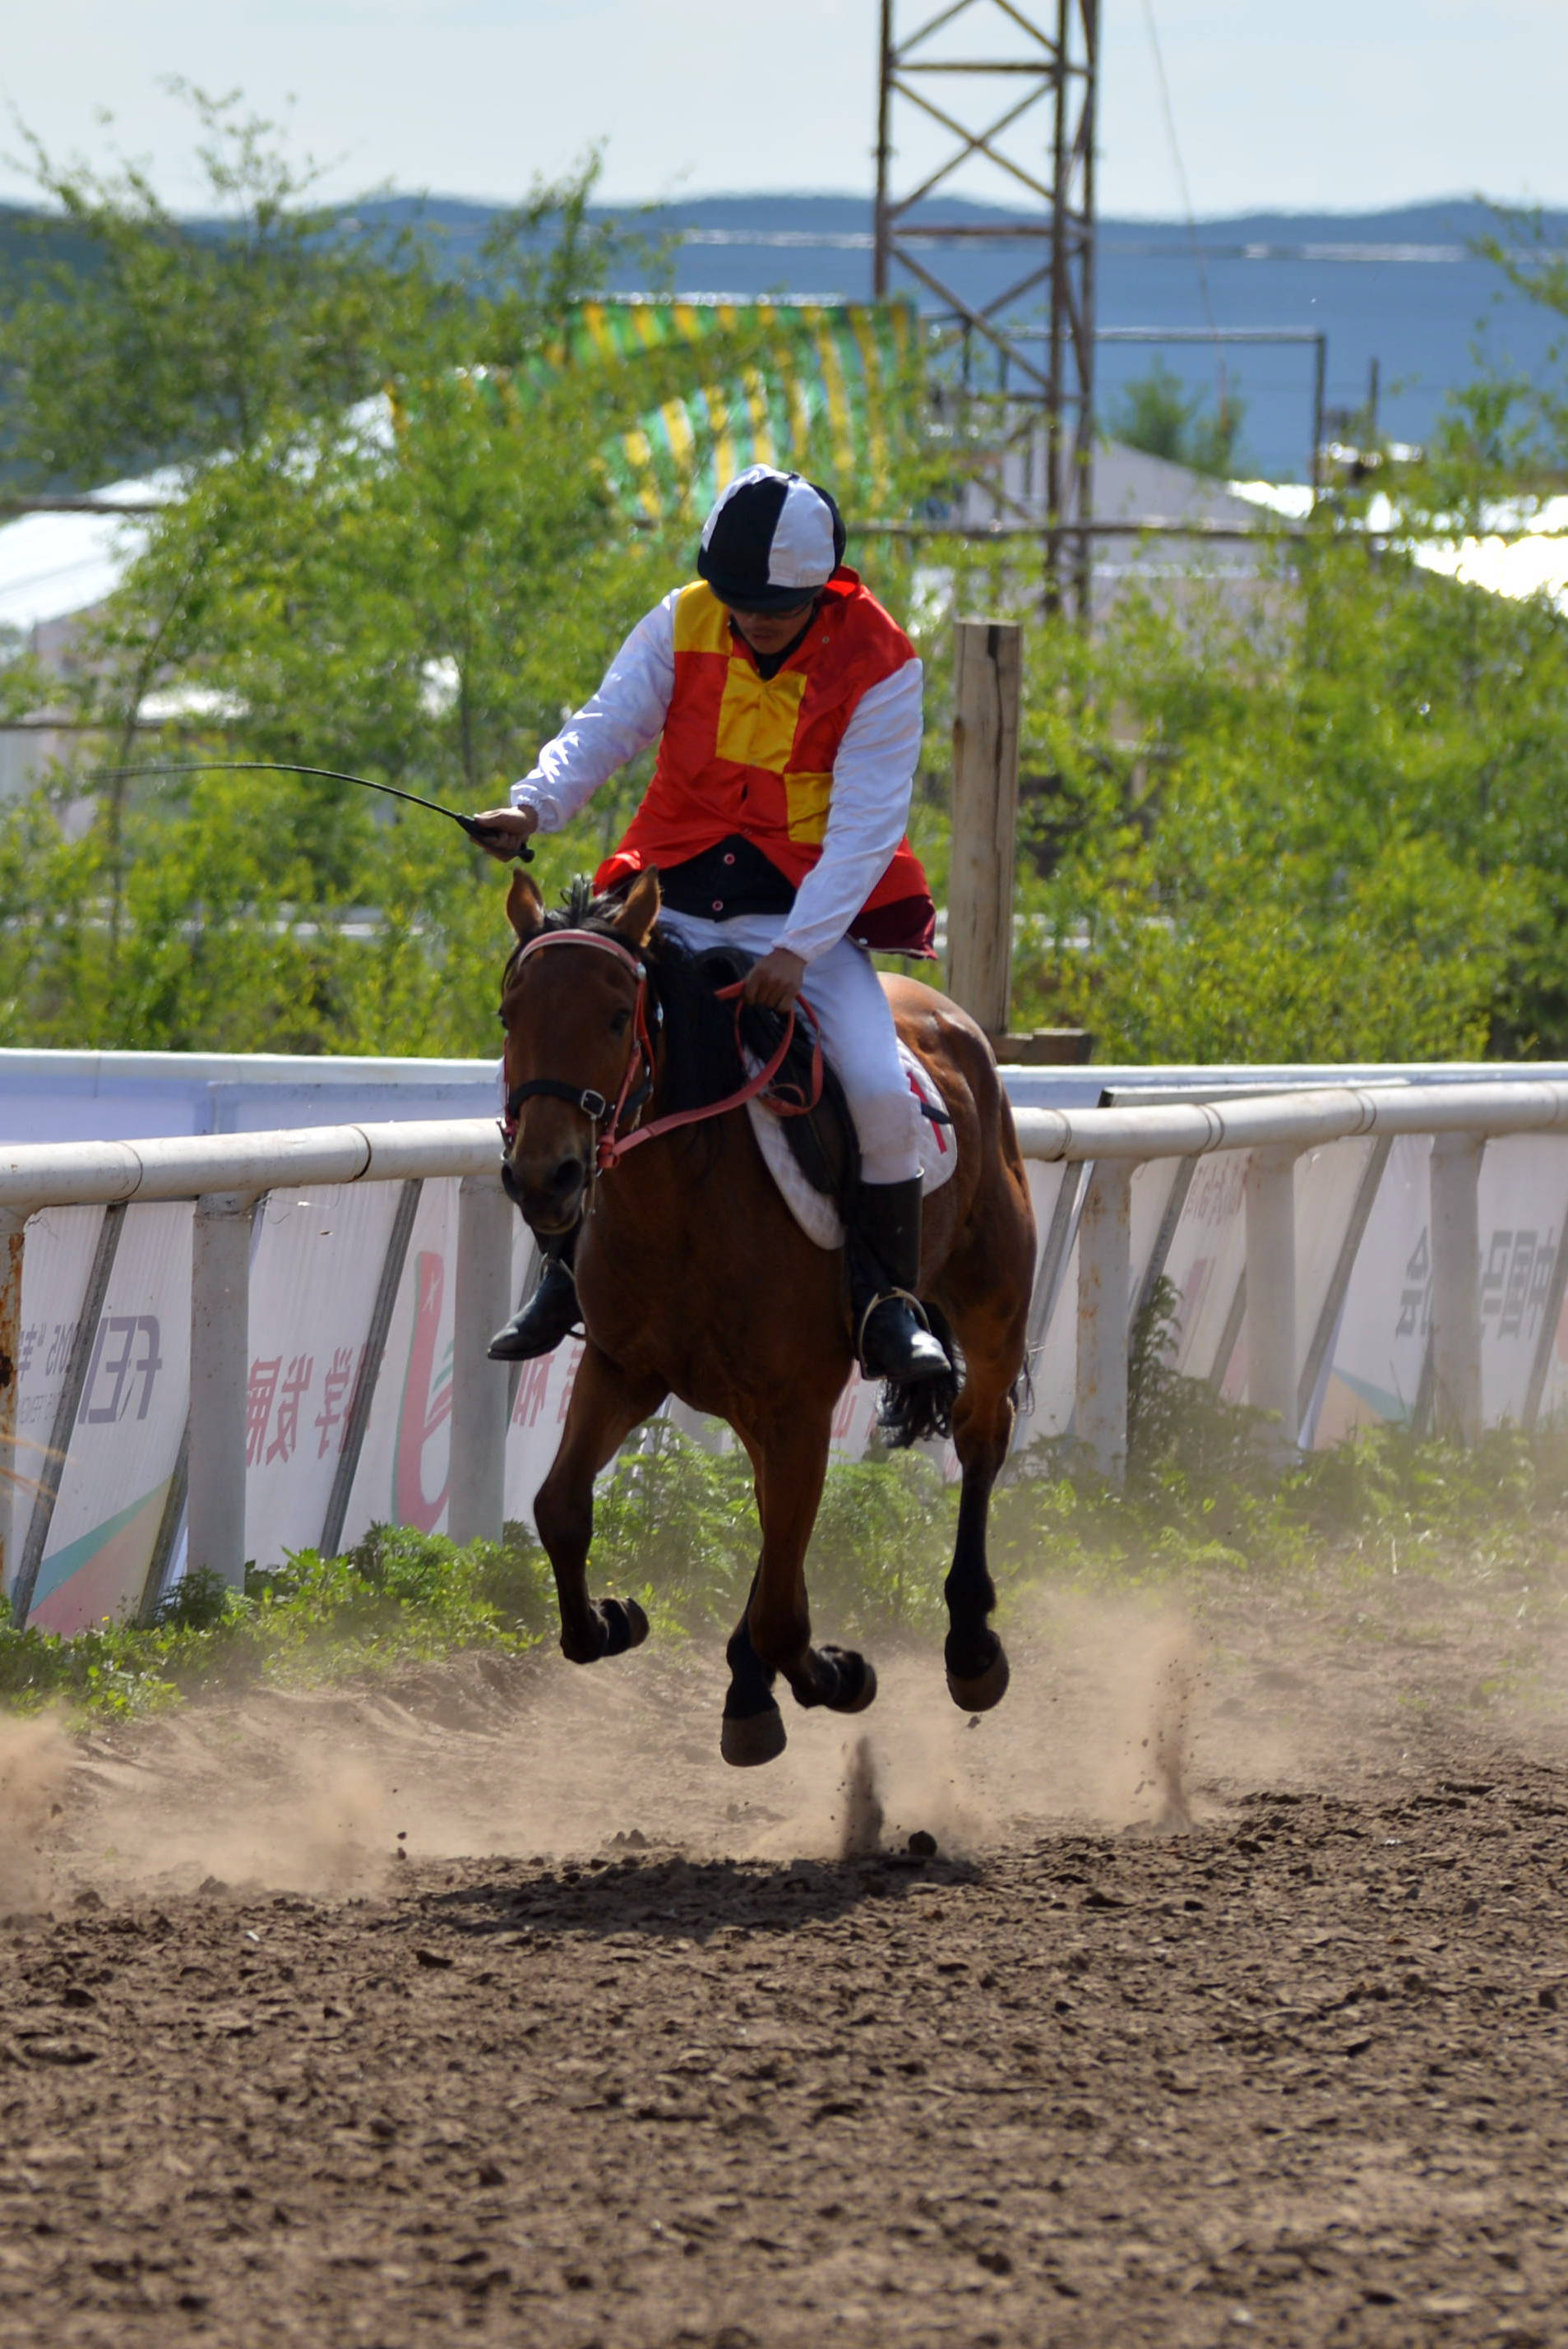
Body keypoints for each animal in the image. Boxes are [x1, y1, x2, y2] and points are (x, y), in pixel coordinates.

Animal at [502, 869, 1034, 1766]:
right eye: (511, 1013)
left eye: (613, 1015)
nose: (546, 1177)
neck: (682, 1201)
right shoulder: (624, 1369)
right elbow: (560, 1509)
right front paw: (607, 1620)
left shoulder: (794, 1405)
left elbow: (786, 1615)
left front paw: (835, 1673)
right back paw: (747, 1686)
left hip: (991, 1306)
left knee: (979, 1437)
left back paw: (967, 1644)